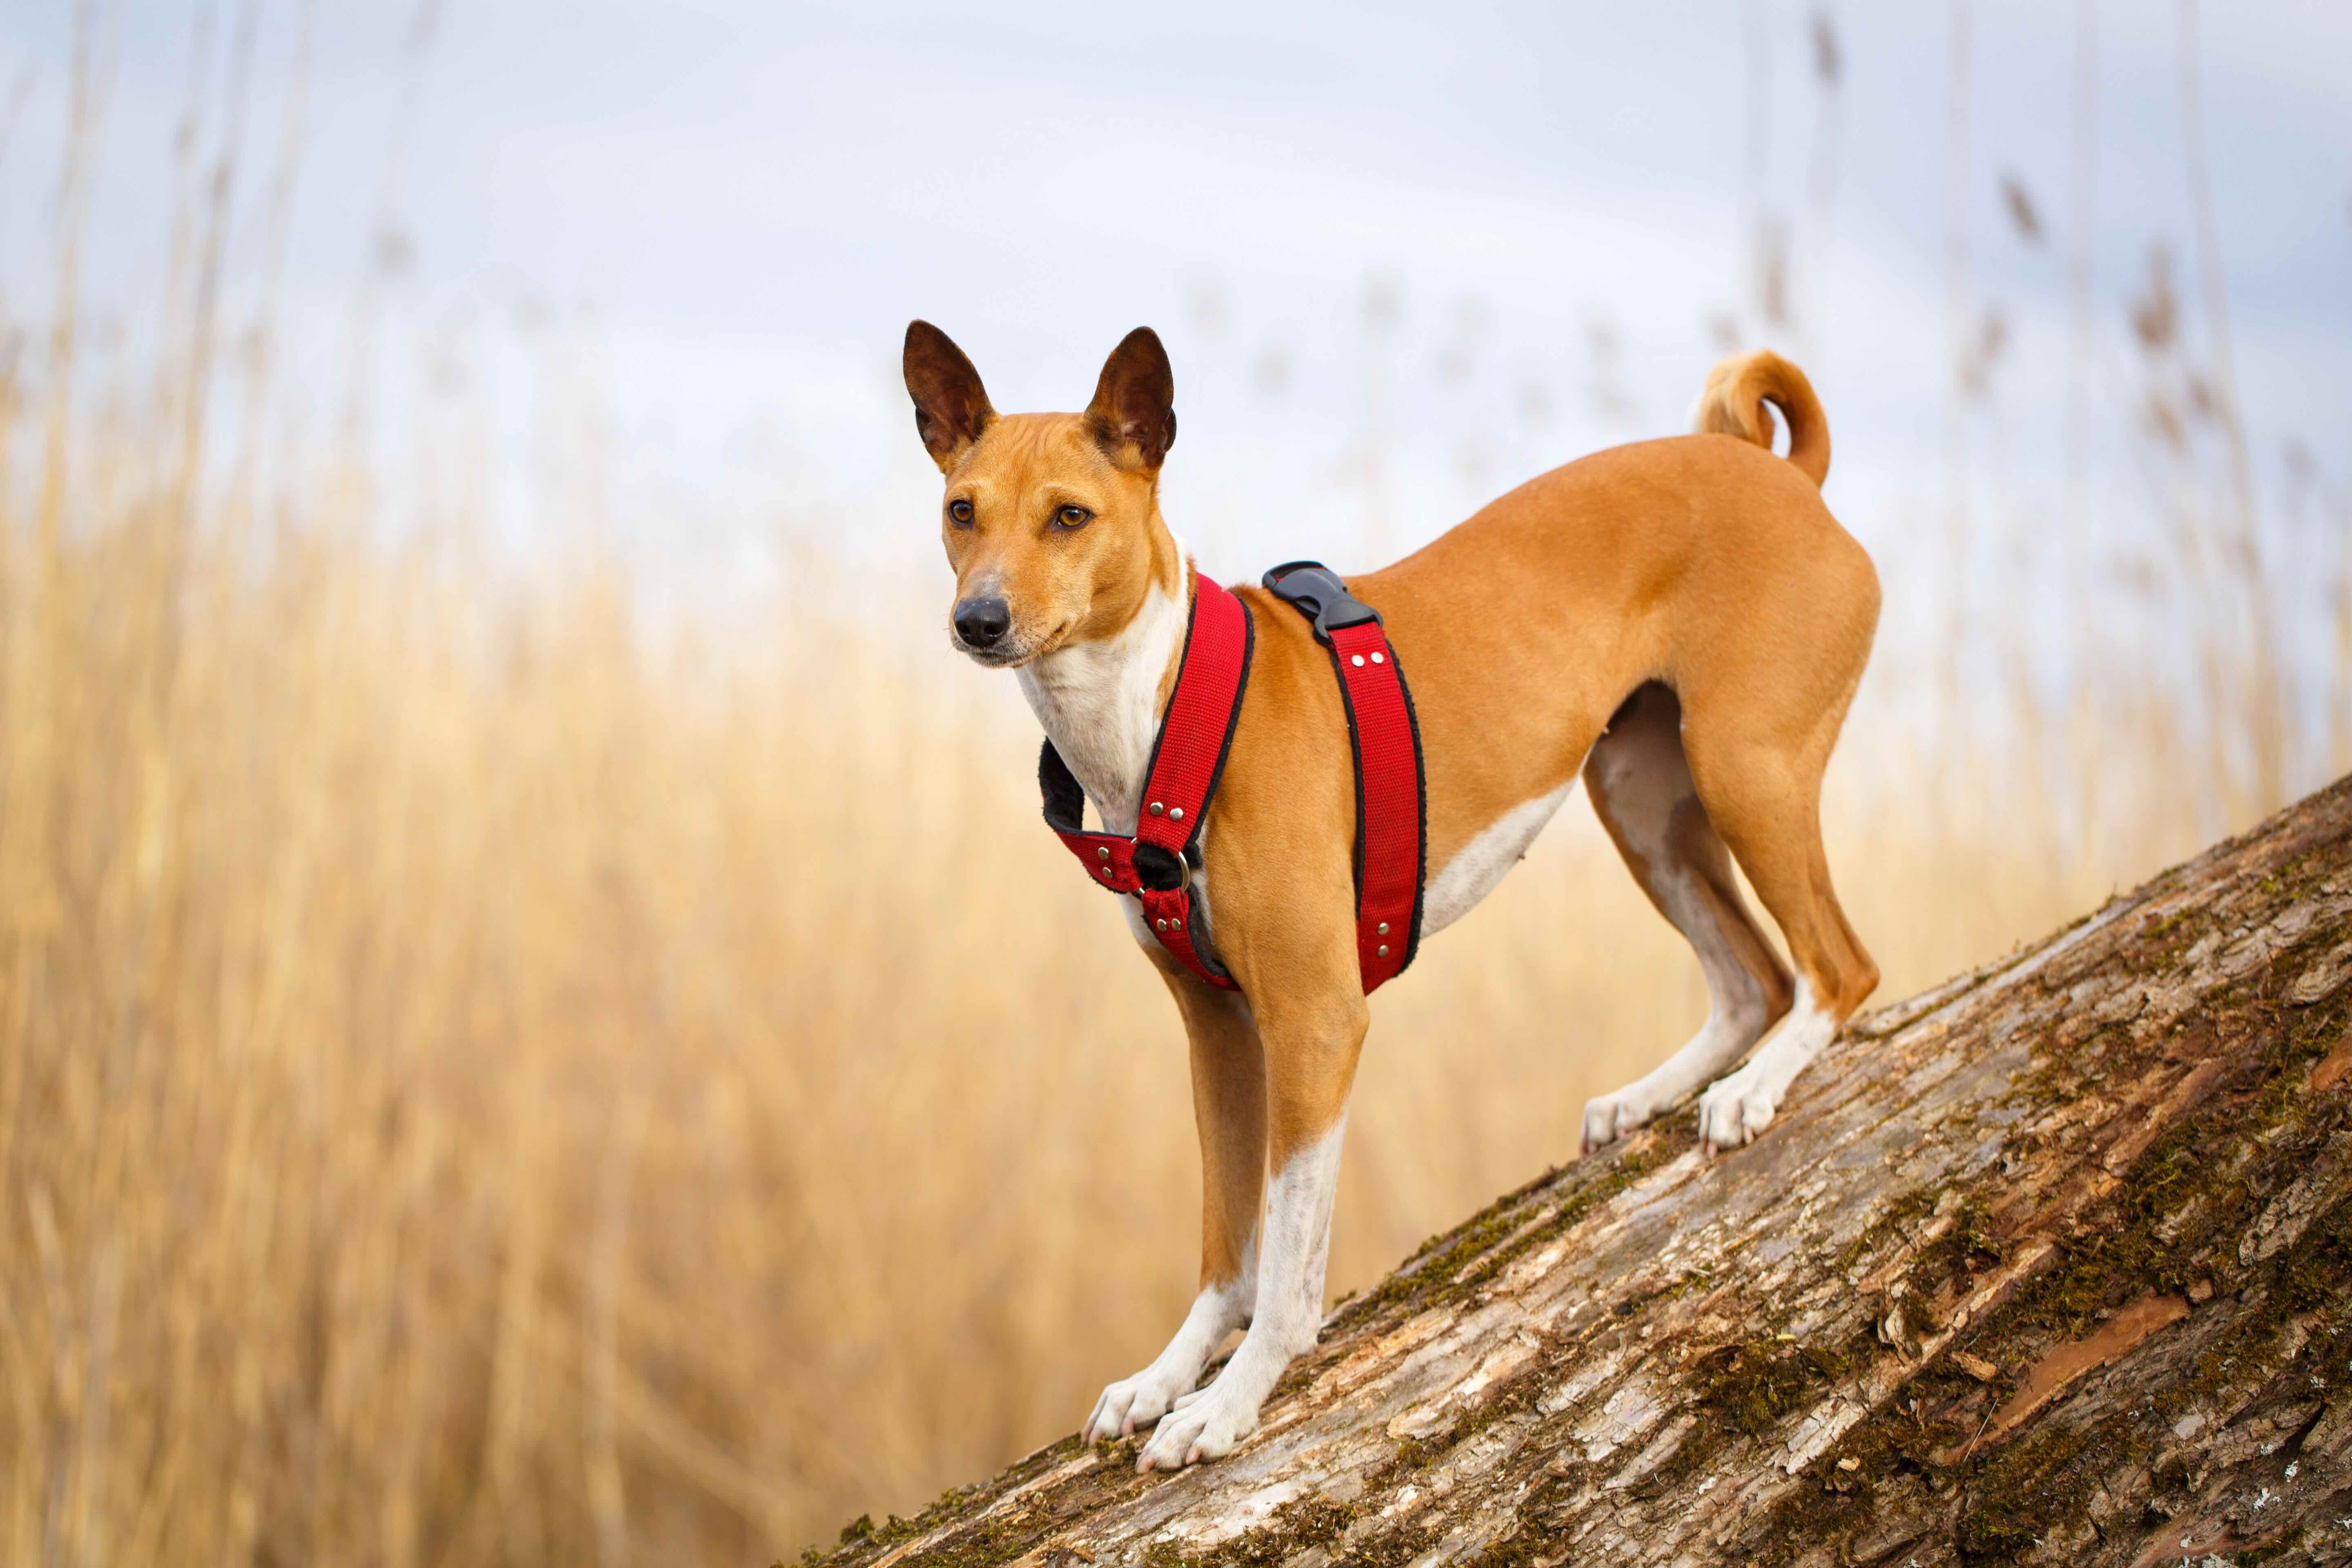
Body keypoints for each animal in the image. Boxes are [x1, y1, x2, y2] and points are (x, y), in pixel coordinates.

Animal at [894, 324, 1872, 1476]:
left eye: (1069, 516)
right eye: (963, 510)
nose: (979, 619)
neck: (1166, 711)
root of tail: (1785, 477)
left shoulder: (1316, 1019)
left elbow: (1287, 1260)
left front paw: (1231, 1399)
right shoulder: (1218, 1031)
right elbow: (1228, 1242)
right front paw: (1168, 1373)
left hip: (1743, 769)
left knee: (1835, 968)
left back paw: (1756, 1088)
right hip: (1639, 797)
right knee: (1752, 975)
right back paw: (1654, 1093)